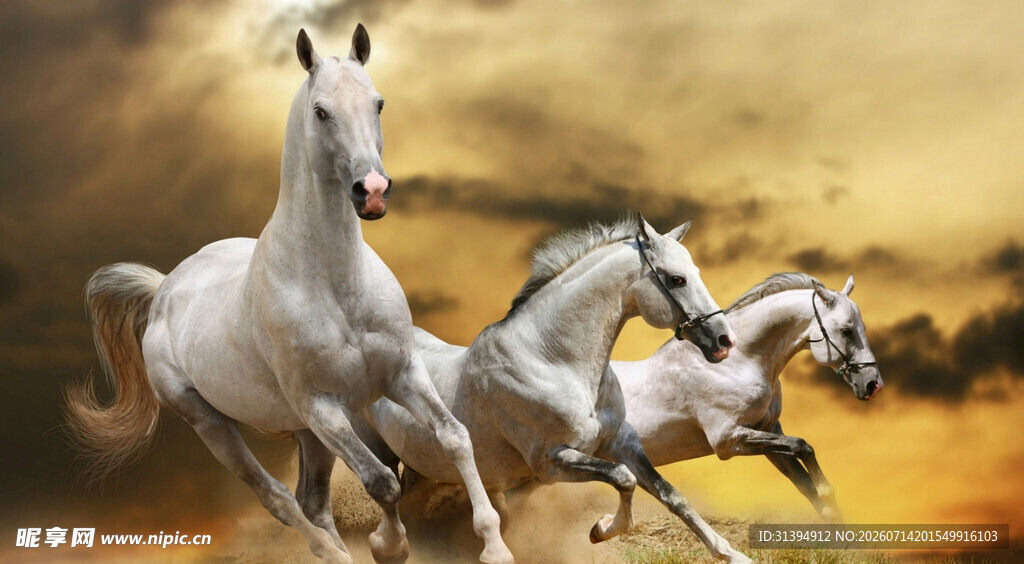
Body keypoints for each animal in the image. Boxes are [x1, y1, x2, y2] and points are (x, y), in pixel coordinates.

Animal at [63, 26, 513, 564]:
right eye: (320, 111)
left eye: (378, 103)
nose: (372, 191)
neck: (337, 288)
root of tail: (165, 288)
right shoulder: (323, 406)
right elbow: (381, 480)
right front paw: (389, 545)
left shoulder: (401, 375)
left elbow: (454, 437)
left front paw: (494, 545)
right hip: (213, 423)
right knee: (278, 499)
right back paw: (333, 553)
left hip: (304, 431)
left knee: (311, 500)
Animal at [361, 215, 753, 563]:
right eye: (676, 279)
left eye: (696, 273)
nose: (724, 341)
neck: (554, 360)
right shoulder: (552, 462)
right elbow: (623, 479)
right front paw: (601, 529)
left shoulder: (621, 443)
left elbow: (670, 494)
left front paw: (732, 554)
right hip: (379, 450)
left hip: (421, 468)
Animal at [614, 272, 882, 523]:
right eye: (846, 331)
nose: (873, 384)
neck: (737, 363)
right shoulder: (728, 440)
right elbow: (803, 447)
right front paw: (827, 490)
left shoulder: (768, 431)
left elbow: (806, 484)